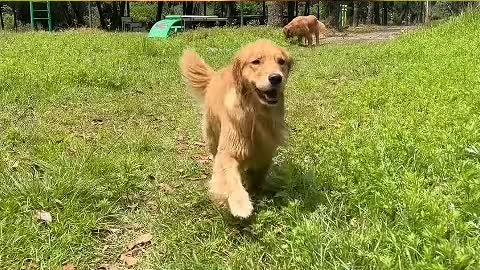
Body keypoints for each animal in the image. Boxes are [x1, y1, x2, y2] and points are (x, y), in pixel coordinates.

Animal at [180, 39, 292, 217]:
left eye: (281, 61)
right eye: (256, 61)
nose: (276, 78)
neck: (255, 113)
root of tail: (215, 75)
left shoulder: (266, 151)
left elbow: (259, 174)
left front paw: (255, 190)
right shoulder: (228, 150)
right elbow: (229, 177)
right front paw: (240, 204)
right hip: (212, 135)